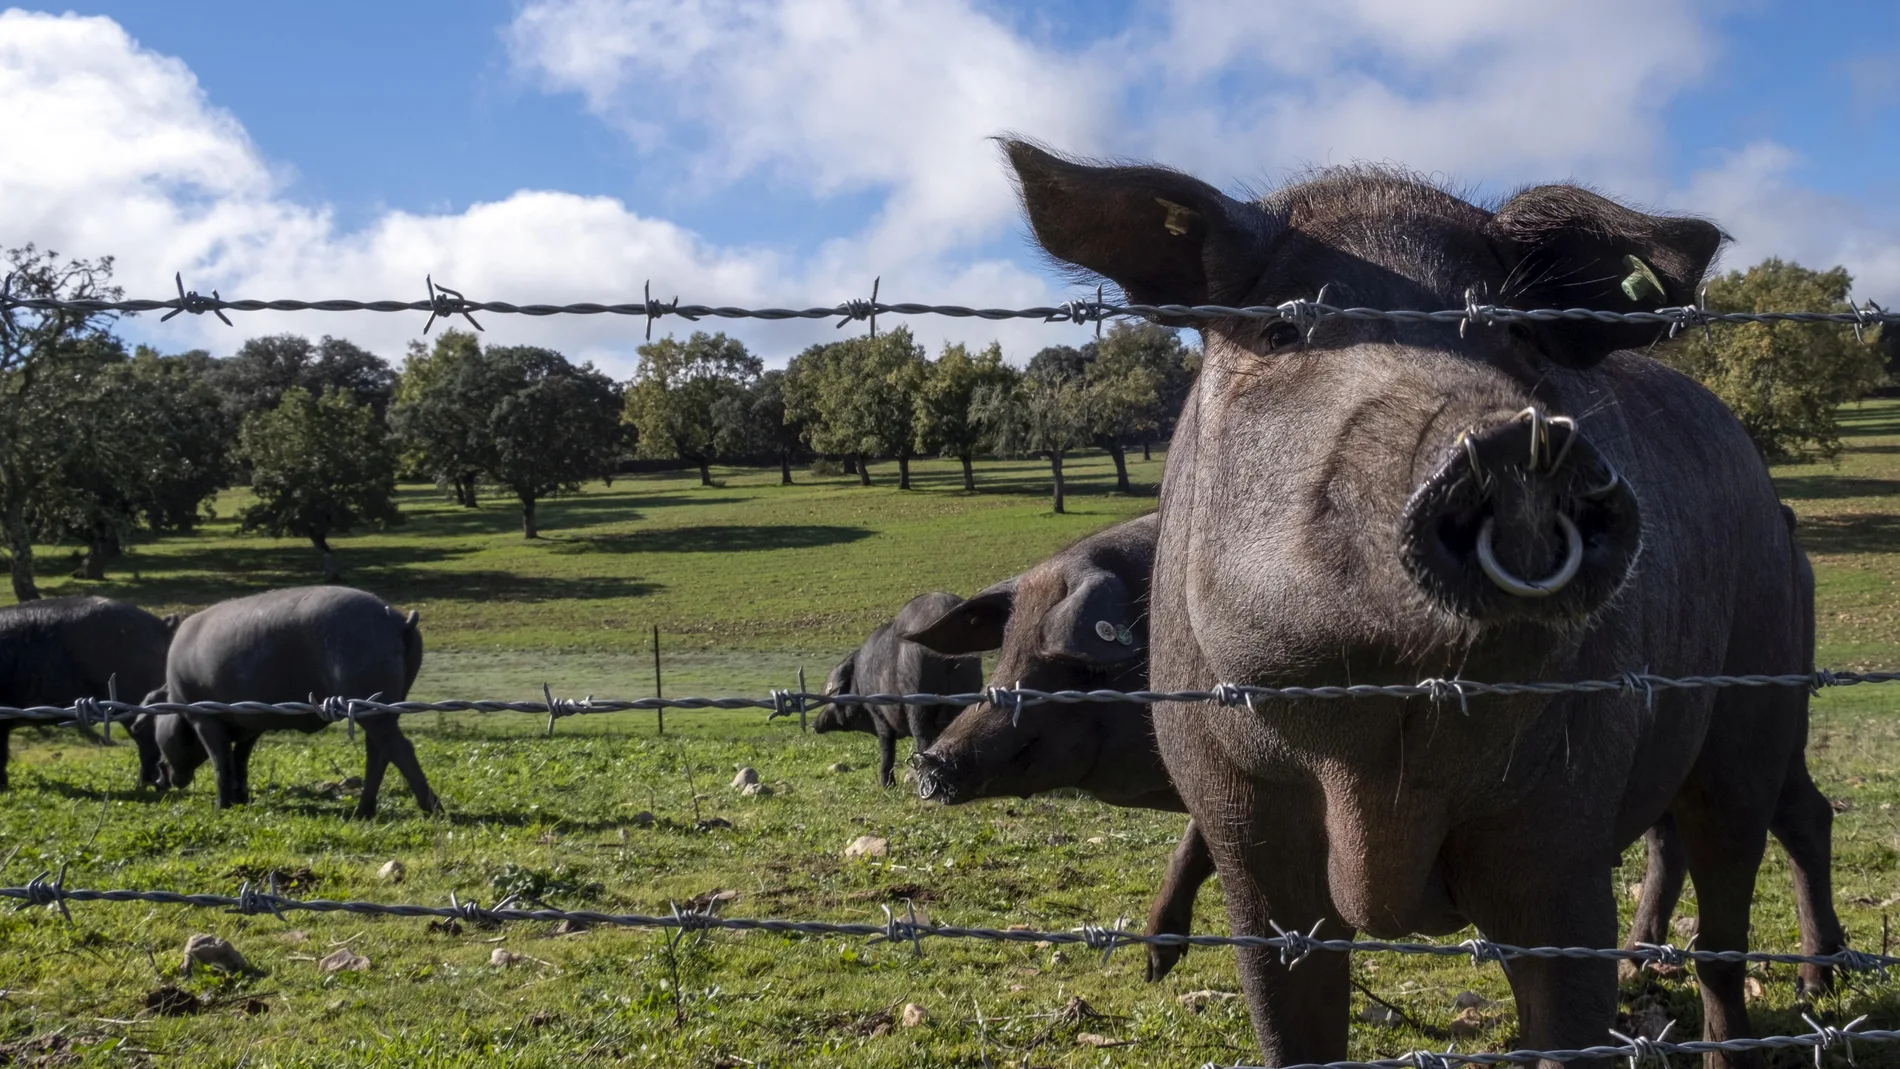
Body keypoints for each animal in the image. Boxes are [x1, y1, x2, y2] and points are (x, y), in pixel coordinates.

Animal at [161, 584, 435, 820]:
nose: (164, 775)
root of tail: (399, 622)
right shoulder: (250, 725)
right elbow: (239, 761)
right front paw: (241, 802)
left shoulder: (204, 720)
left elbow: (220, 762)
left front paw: (221, 808)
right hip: (386, 705)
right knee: (378, 751)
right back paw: (363, 812)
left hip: (372, 702)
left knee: (400, 748)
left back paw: (434, 811)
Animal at [820, 588, 988, 789]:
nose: (815, 724)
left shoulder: (878, 714)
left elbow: (887, 747)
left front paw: (887, 786)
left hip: (918, 699)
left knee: (922, 739)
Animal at [1010, 137, 1839, 1063]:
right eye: (1282, 329)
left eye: (1517, 330)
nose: (1517, 439)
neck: (1381, 761)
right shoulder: (1244, 832)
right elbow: (1289, 1025)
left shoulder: (1561, 844)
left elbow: (1568, 1017)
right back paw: (1654, 963)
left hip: (1756, 696)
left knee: (1740, 899)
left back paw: (1799, 987)